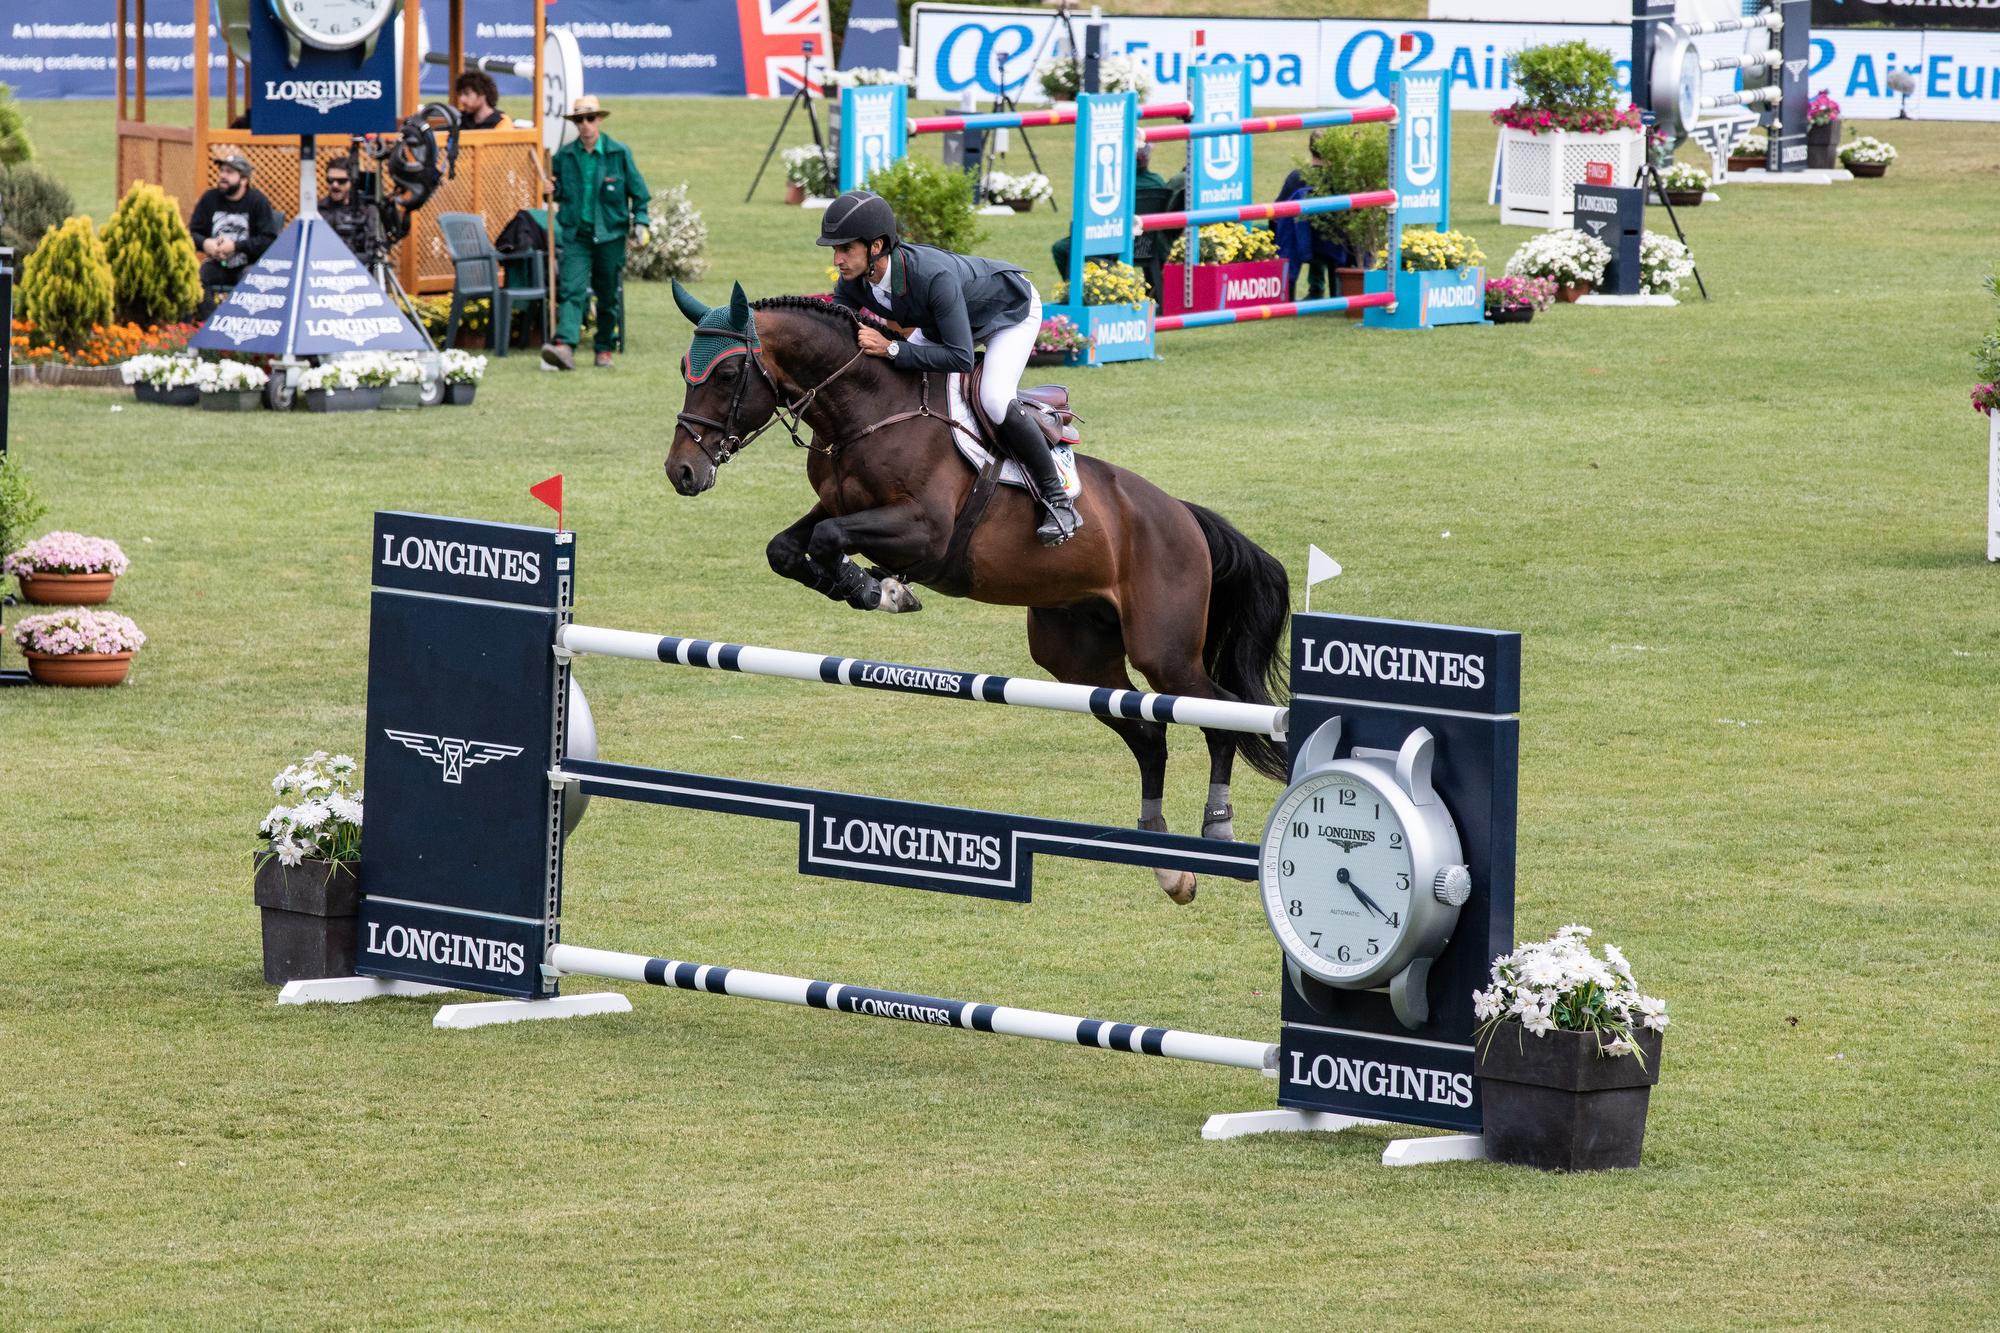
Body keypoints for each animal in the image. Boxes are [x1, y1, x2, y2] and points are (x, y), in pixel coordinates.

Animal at [668, 280, 1296, 904]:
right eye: (683, 369)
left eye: (727, 374)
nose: (681, 472)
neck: (868, 411)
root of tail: (1185, 517)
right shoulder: (839, 506)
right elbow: (787, 547)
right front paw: (863, 585)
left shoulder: (924, 530)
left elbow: (828, 539)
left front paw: (880, 588)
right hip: (1076, 656)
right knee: (1147, 732)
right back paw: (1167, 863)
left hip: (1163, 652)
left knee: (1219, 716)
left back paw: (1217, 829)